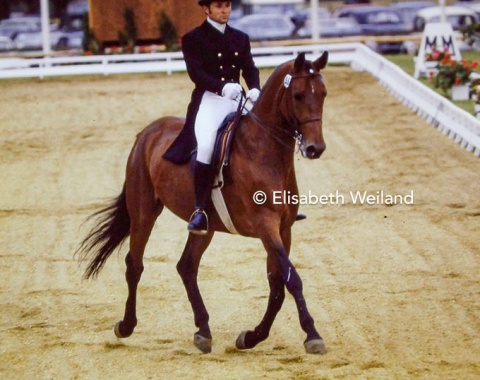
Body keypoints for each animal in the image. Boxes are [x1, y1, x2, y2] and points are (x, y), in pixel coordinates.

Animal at [77, 52, 328, 354]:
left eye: (323, 94)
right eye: (298, 95)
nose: (315, 148)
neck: (264, 151)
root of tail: (146, 133)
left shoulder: (283, 229)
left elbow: (278, 285)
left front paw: (252, 336)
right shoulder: (265, 226)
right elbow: (292, 280)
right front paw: (312, 334)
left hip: (204, 227)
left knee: (186, 266)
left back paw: (203, 331)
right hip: (144, 212)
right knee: (134, 265)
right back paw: (126, 325)